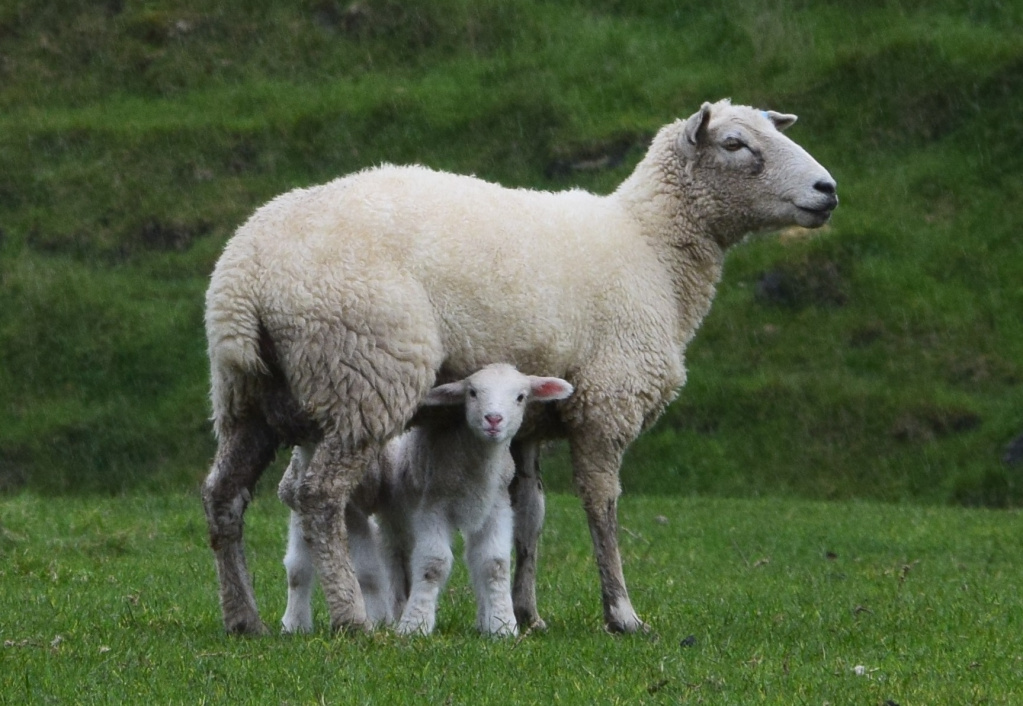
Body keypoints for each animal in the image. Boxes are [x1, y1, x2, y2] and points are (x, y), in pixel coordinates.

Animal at [278, 362, 576, 634]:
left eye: (521, 397)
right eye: (472, 393)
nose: (493, 419)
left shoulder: (496, 506)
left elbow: (494, 564)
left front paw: (502, 626)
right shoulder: (433, 505)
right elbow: (434, 563)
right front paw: (415, 626)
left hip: (395, 510)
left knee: (395, 556)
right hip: (321, 496)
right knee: (304, 567)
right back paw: (298, 624)